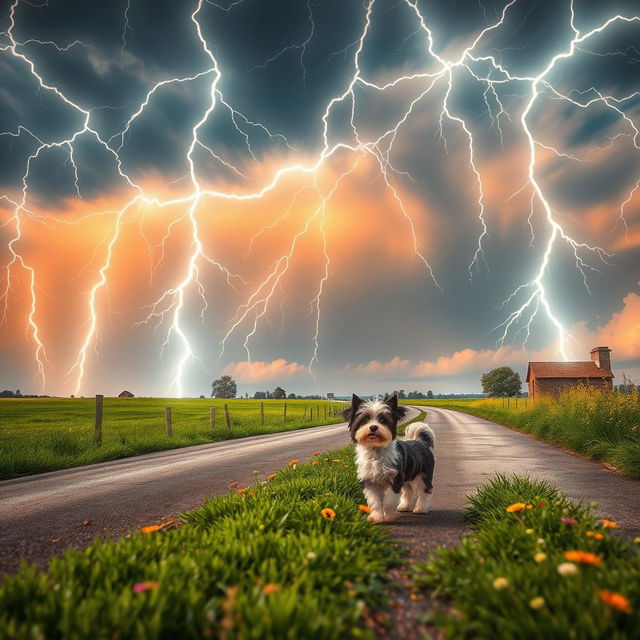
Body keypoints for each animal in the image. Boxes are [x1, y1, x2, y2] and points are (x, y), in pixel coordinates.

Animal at [344, 392, 436, 524]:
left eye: (383, 420)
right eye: (365, 420)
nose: (373, 427)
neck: (376, 452)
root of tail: (421, 442)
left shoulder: (395, 478)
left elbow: (389, 500)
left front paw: (387, 516)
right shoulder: (369, 481)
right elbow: (374, 501)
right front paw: (376, 517)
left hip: (423, 475)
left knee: (424, 491)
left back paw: (420, 508)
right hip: (406, 477)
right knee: (408, 491)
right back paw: (404, 506)